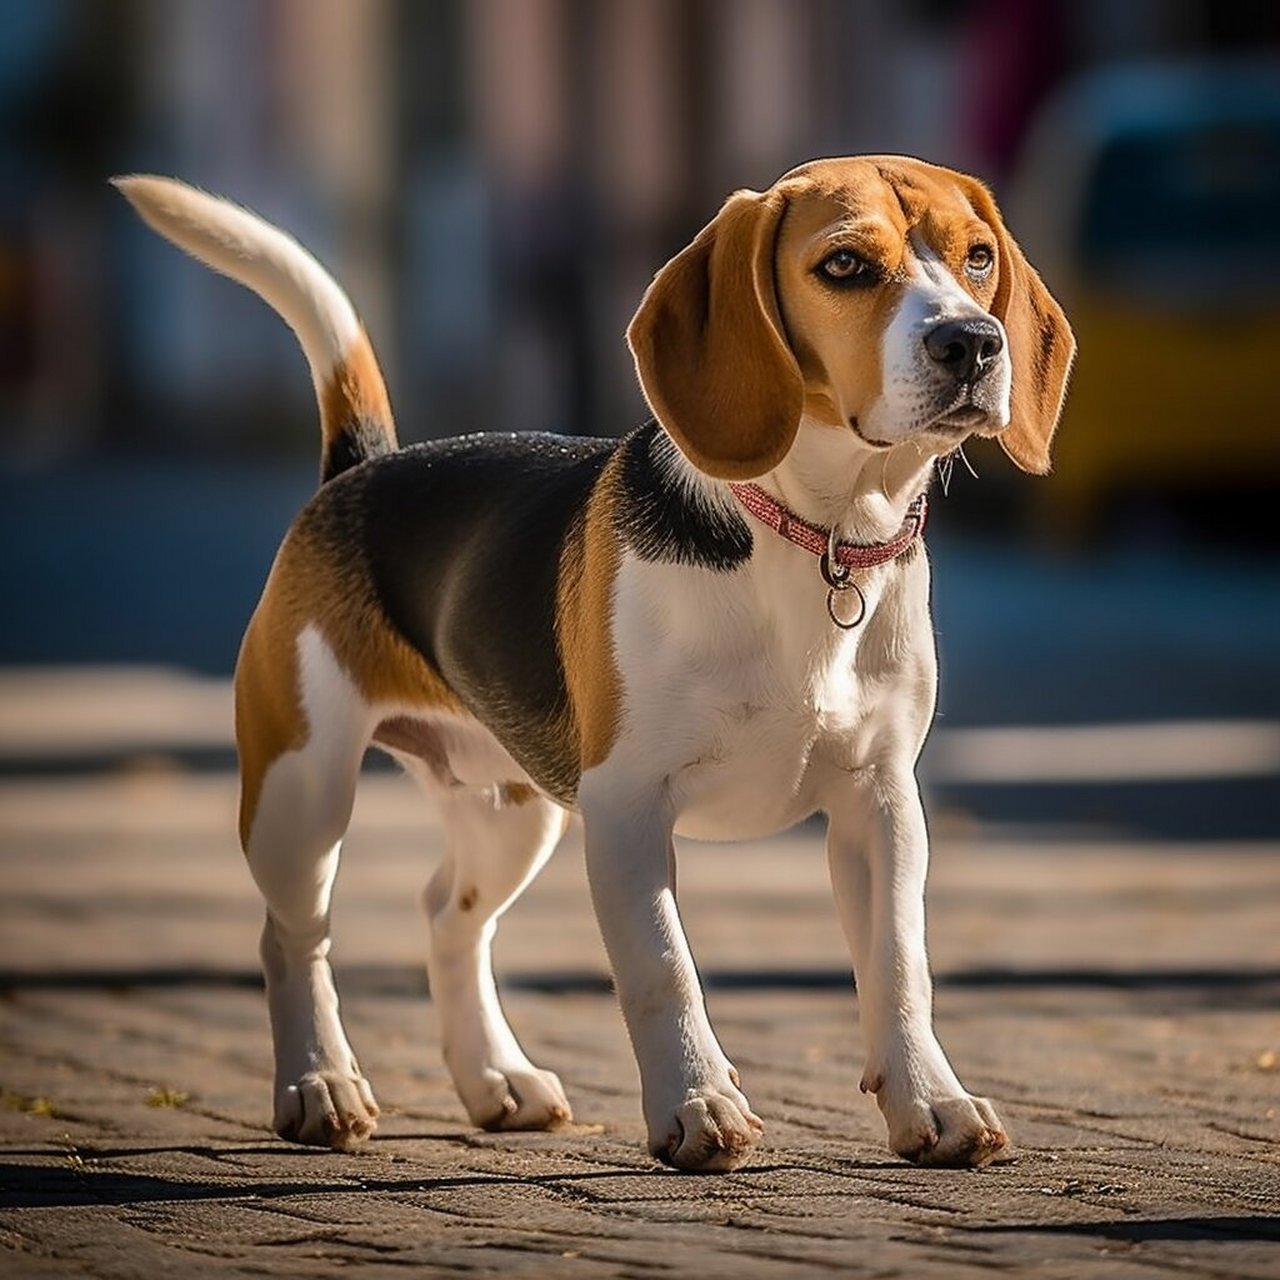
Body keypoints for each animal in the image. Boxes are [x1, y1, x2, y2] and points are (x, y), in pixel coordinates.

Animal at [120, 157, 1075, 1172]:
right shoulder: (626, 806)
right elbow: (662, 967)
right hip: (303, 790)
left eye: (978, 258)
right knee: (293, 936)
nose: (972, 343)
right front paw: (697, 1105)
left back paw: (494, 1079)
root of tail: (364, 468)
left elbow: (899, 968)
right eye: (846, 265)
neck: (814, 532)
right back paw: (318, 1083)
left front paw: (931, 1102)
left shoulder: (881, 804)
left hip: (511, 810)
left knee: (447, 915)